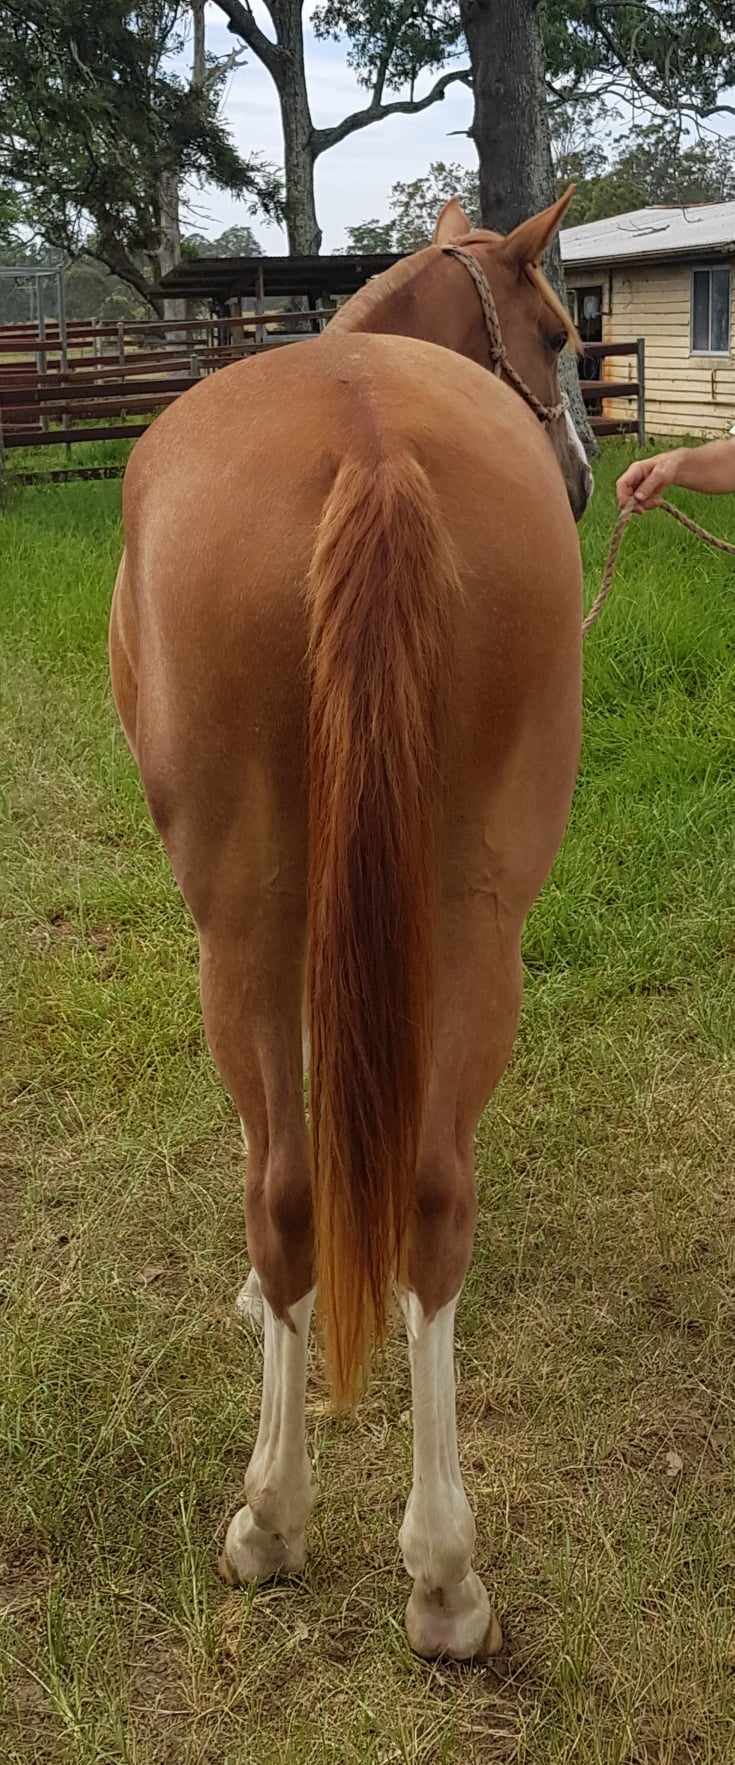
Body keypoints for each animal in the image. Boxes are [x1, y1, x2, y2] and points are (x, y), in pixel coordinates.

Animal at [109, 187, 592, 1661]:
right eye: (557, 331)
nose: (580, 476)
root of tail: (371, 447)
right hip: (471, 921)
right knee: (430, 1197)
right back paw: (444, 1578)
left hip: (244, 929)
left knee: (281, 1186)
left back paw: (273, 1521)